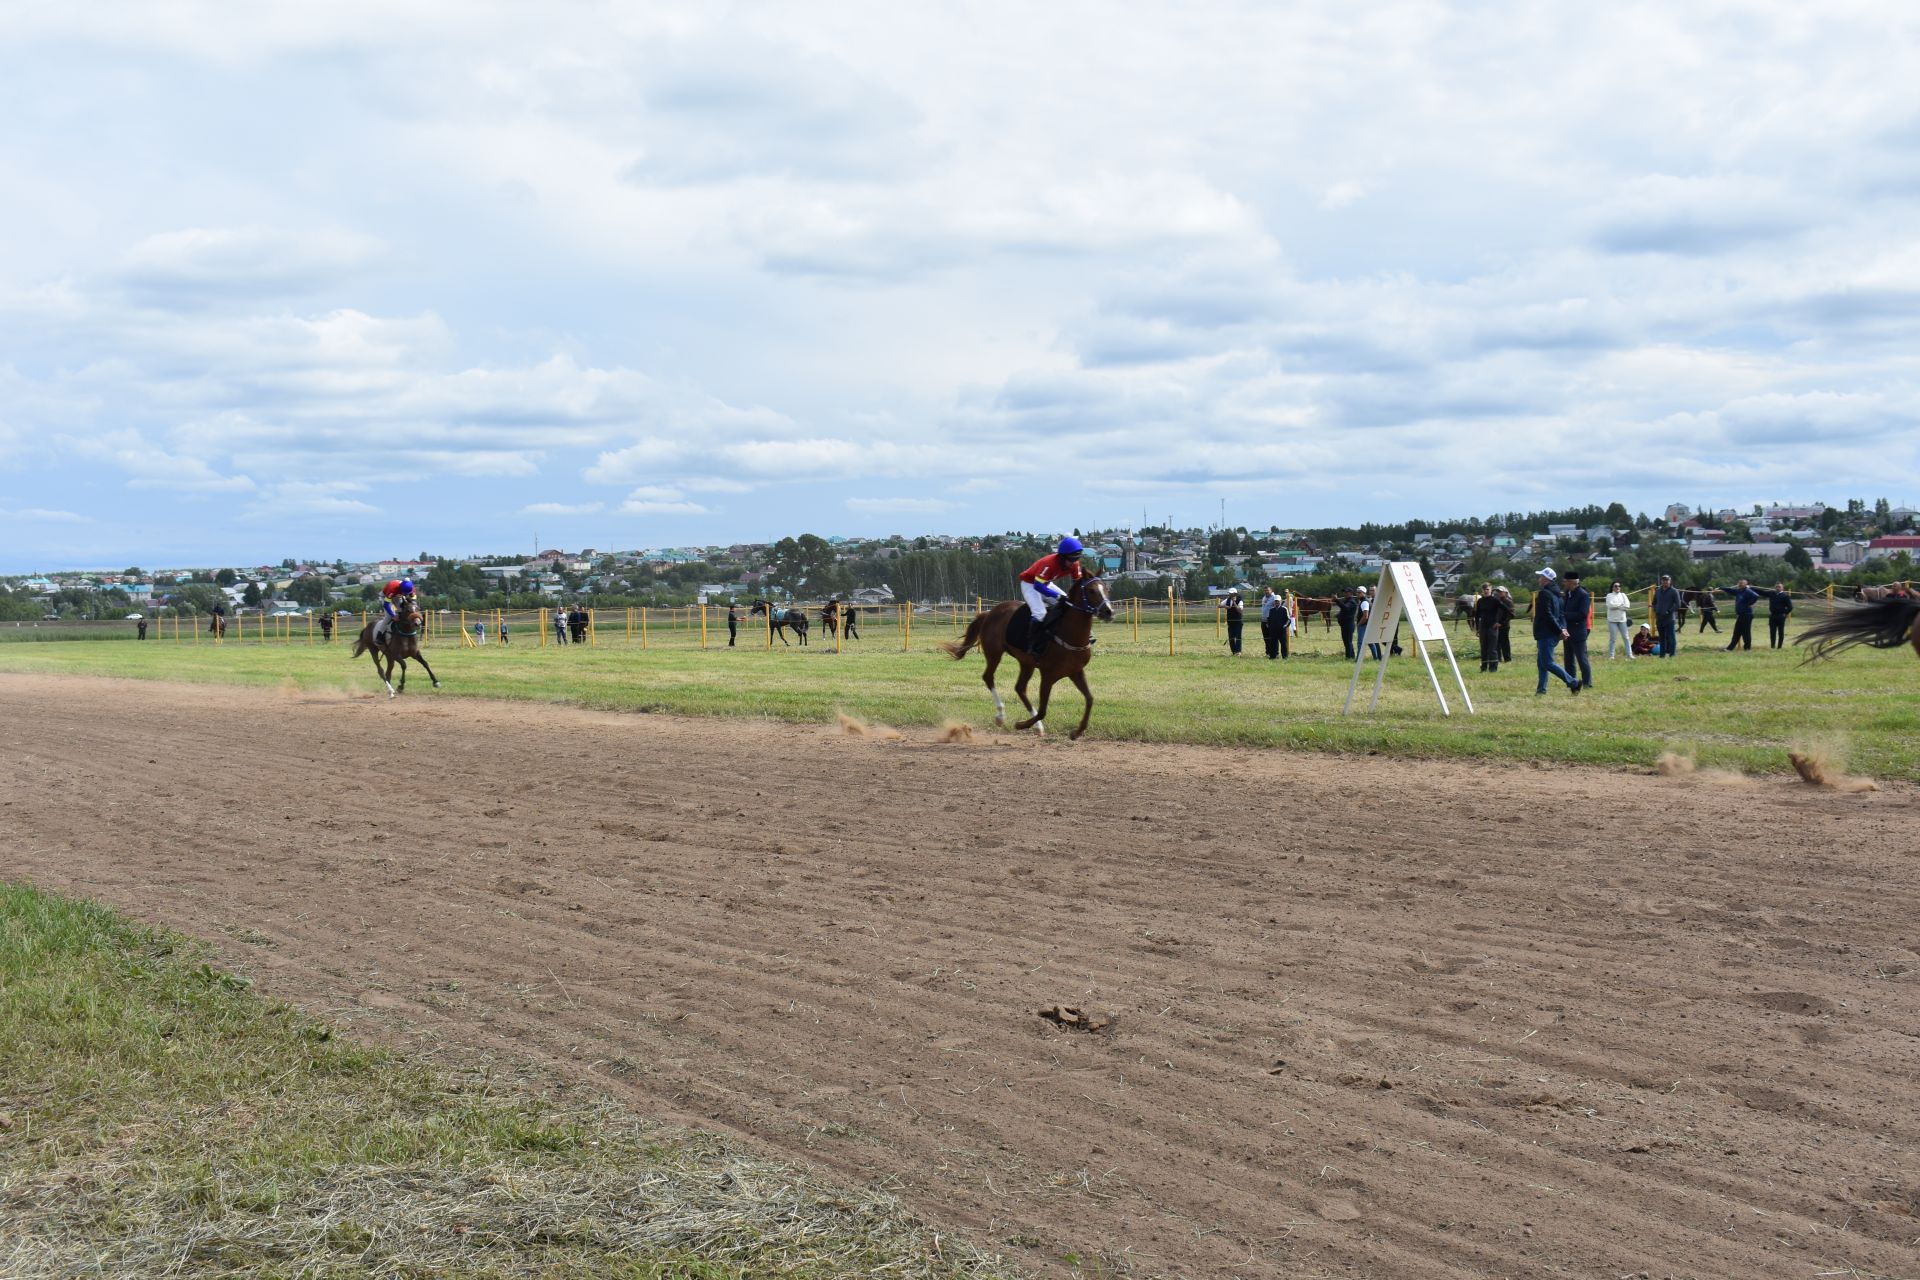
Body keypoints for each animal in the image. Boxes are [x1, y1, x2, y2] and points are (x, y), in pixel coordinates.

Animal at [940, 579, 1113, 744]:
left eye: (1106, 589)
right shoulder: (1048, 675)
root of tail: (988, 613)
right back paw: (1001, 715)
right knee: (989, 677)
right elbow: (1043, 710)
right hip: (994, 653)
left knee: (1020, 688)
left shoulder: (1075, 671)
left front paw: (1076, 732)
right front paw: (1021, 724)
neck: (1069, 633)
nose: (1108, 611)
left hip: (1026, 663)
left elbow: (1089, 699)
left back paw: (1037, 727)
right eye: (1091, 591)